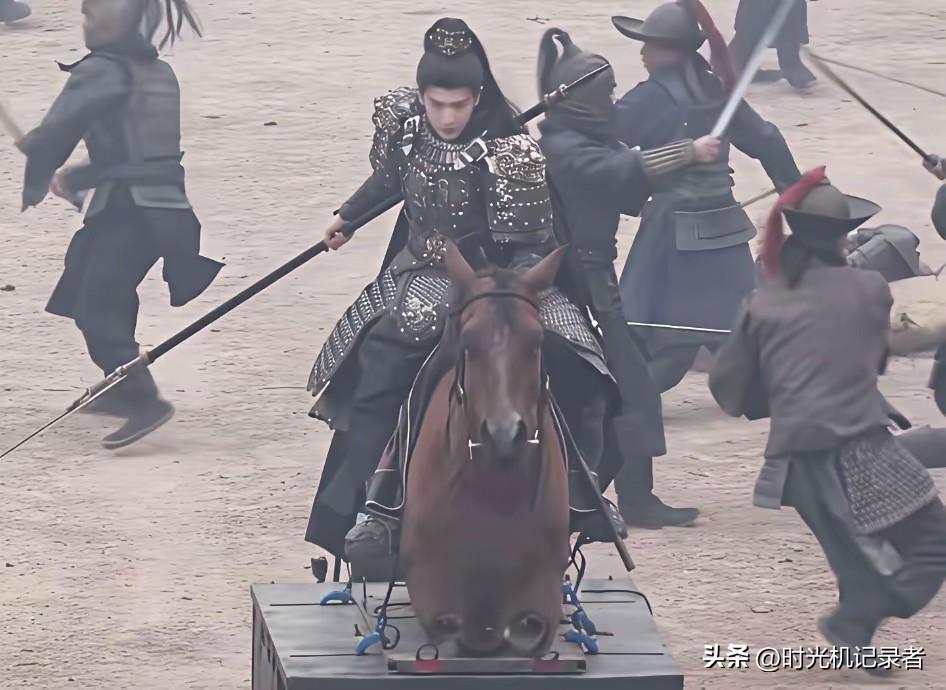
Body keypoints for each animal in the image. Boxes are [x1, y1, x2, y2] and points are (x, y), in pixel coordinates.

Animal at [400, 243, 571, 658]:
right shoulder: (436, 599)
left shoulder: (539, 604)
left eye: (536, 342)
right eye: (468, 343)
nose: (504, 434)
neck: (494, 493)